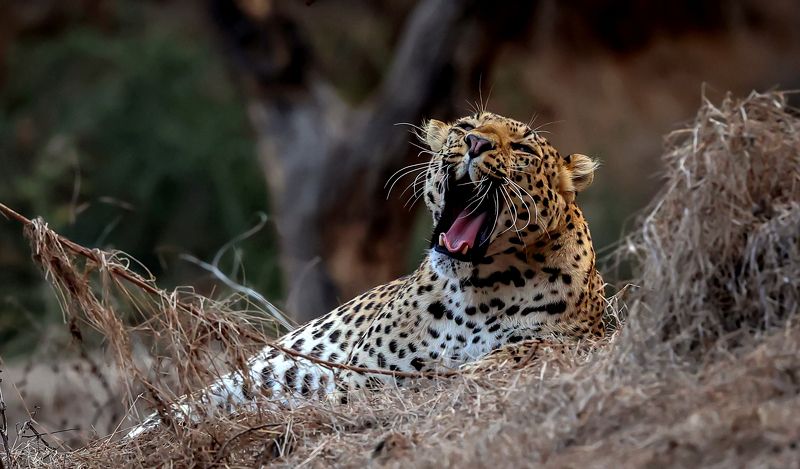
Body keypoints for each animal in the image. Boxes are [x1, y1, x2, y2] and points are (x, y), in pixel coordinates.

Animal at [127, 111, 605, 437]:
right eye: (465, 125)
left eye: (523, 150)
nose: (473, 143)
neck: (478, 291)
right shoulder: (361, 379)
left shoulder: (574, 338)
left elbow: (524, 351)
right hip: (220, 390)